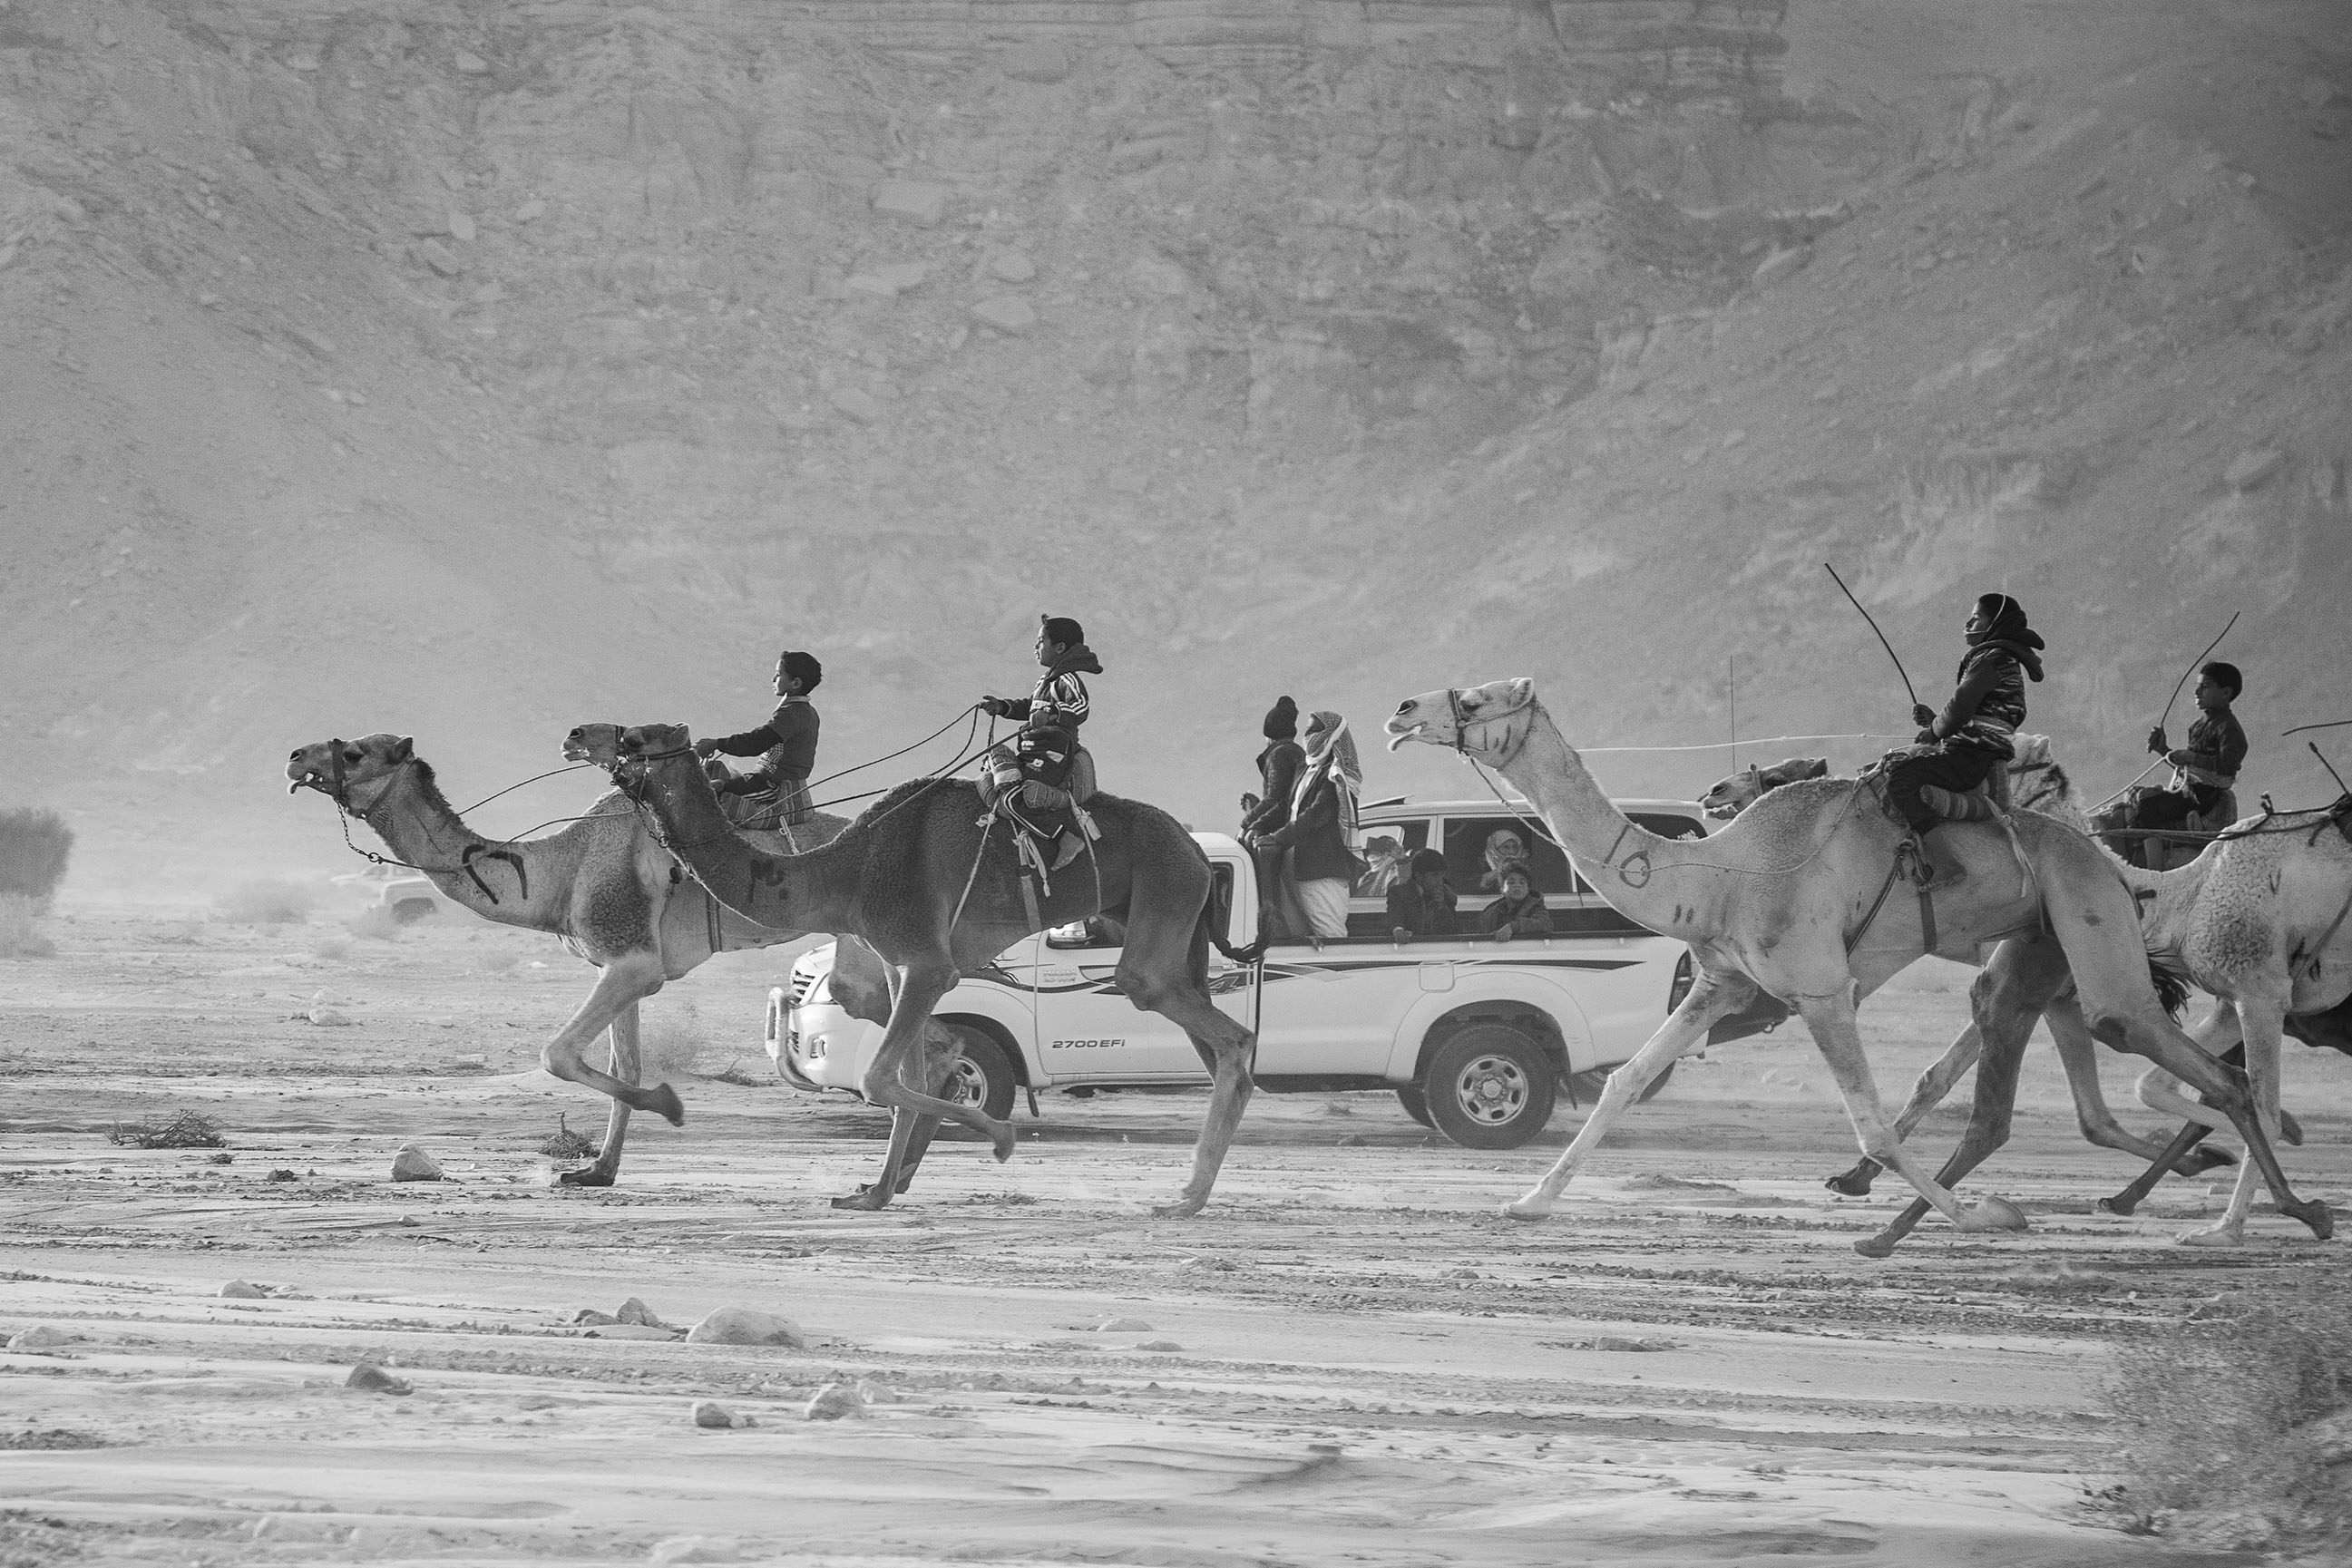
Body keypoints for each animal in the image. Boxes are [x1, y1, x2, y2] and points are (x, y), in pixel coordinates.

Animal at [294, 737, 954, 1189]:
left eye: (354, 752)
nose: (296, 757)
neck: (558, 871)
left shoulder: (635, 963)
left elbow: (559, 1055)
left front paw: (670, 1104)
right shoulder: (613, 965)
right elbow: (624, 1064)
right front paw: (597, 1171)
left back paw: (896, 1175)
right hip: (870, 951)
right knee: (903, 1021)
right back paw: (897, 1174)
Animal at [560, 719, 1260, 1222]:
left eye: (634, 738)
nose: (575, 736)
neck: (847, 871)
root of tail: (1197, 850)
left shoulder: (927, 962)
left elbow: (878, 1077)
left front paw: (997, 1139)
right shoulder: (899, 964)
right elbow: (906, 1075)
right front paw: (874, 1190)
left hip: (1161, 909)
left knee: (1225, 1033)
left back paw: (1185, 1198)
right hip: (1171, 931)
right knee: (1220, 1044)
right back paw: (1189, 1189)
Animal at [1382, 681, 2323, 1260]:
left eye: (1473, 697)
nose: (1398, 710)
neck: (1720, 875)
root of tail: (2108, 856)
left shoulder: (1820, 989)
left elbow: (1870, 1124)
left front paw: (1975, 1214)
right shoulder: (1722, 985)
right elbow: (1622, 1082)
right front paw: (1529, 1201)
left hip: (2094, 936)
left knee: (2196, 1061)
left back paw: (2284, 1206)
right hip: (2042, 947)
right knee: (2080, 1075)